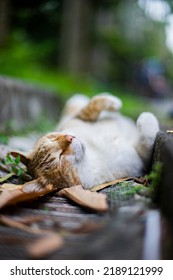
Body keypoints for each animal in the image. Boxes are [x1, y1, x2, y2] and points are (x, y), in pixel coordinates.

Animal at [13, 94, 159, 190]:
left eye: (53, 138)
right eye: (60, 157)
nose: (70, 138)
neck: (93, 154)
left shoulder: (76, 119)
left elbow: (91, 106)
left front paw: (114, 102)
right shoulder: (140, 159)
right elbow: (147, 138)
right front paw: (146, 118)